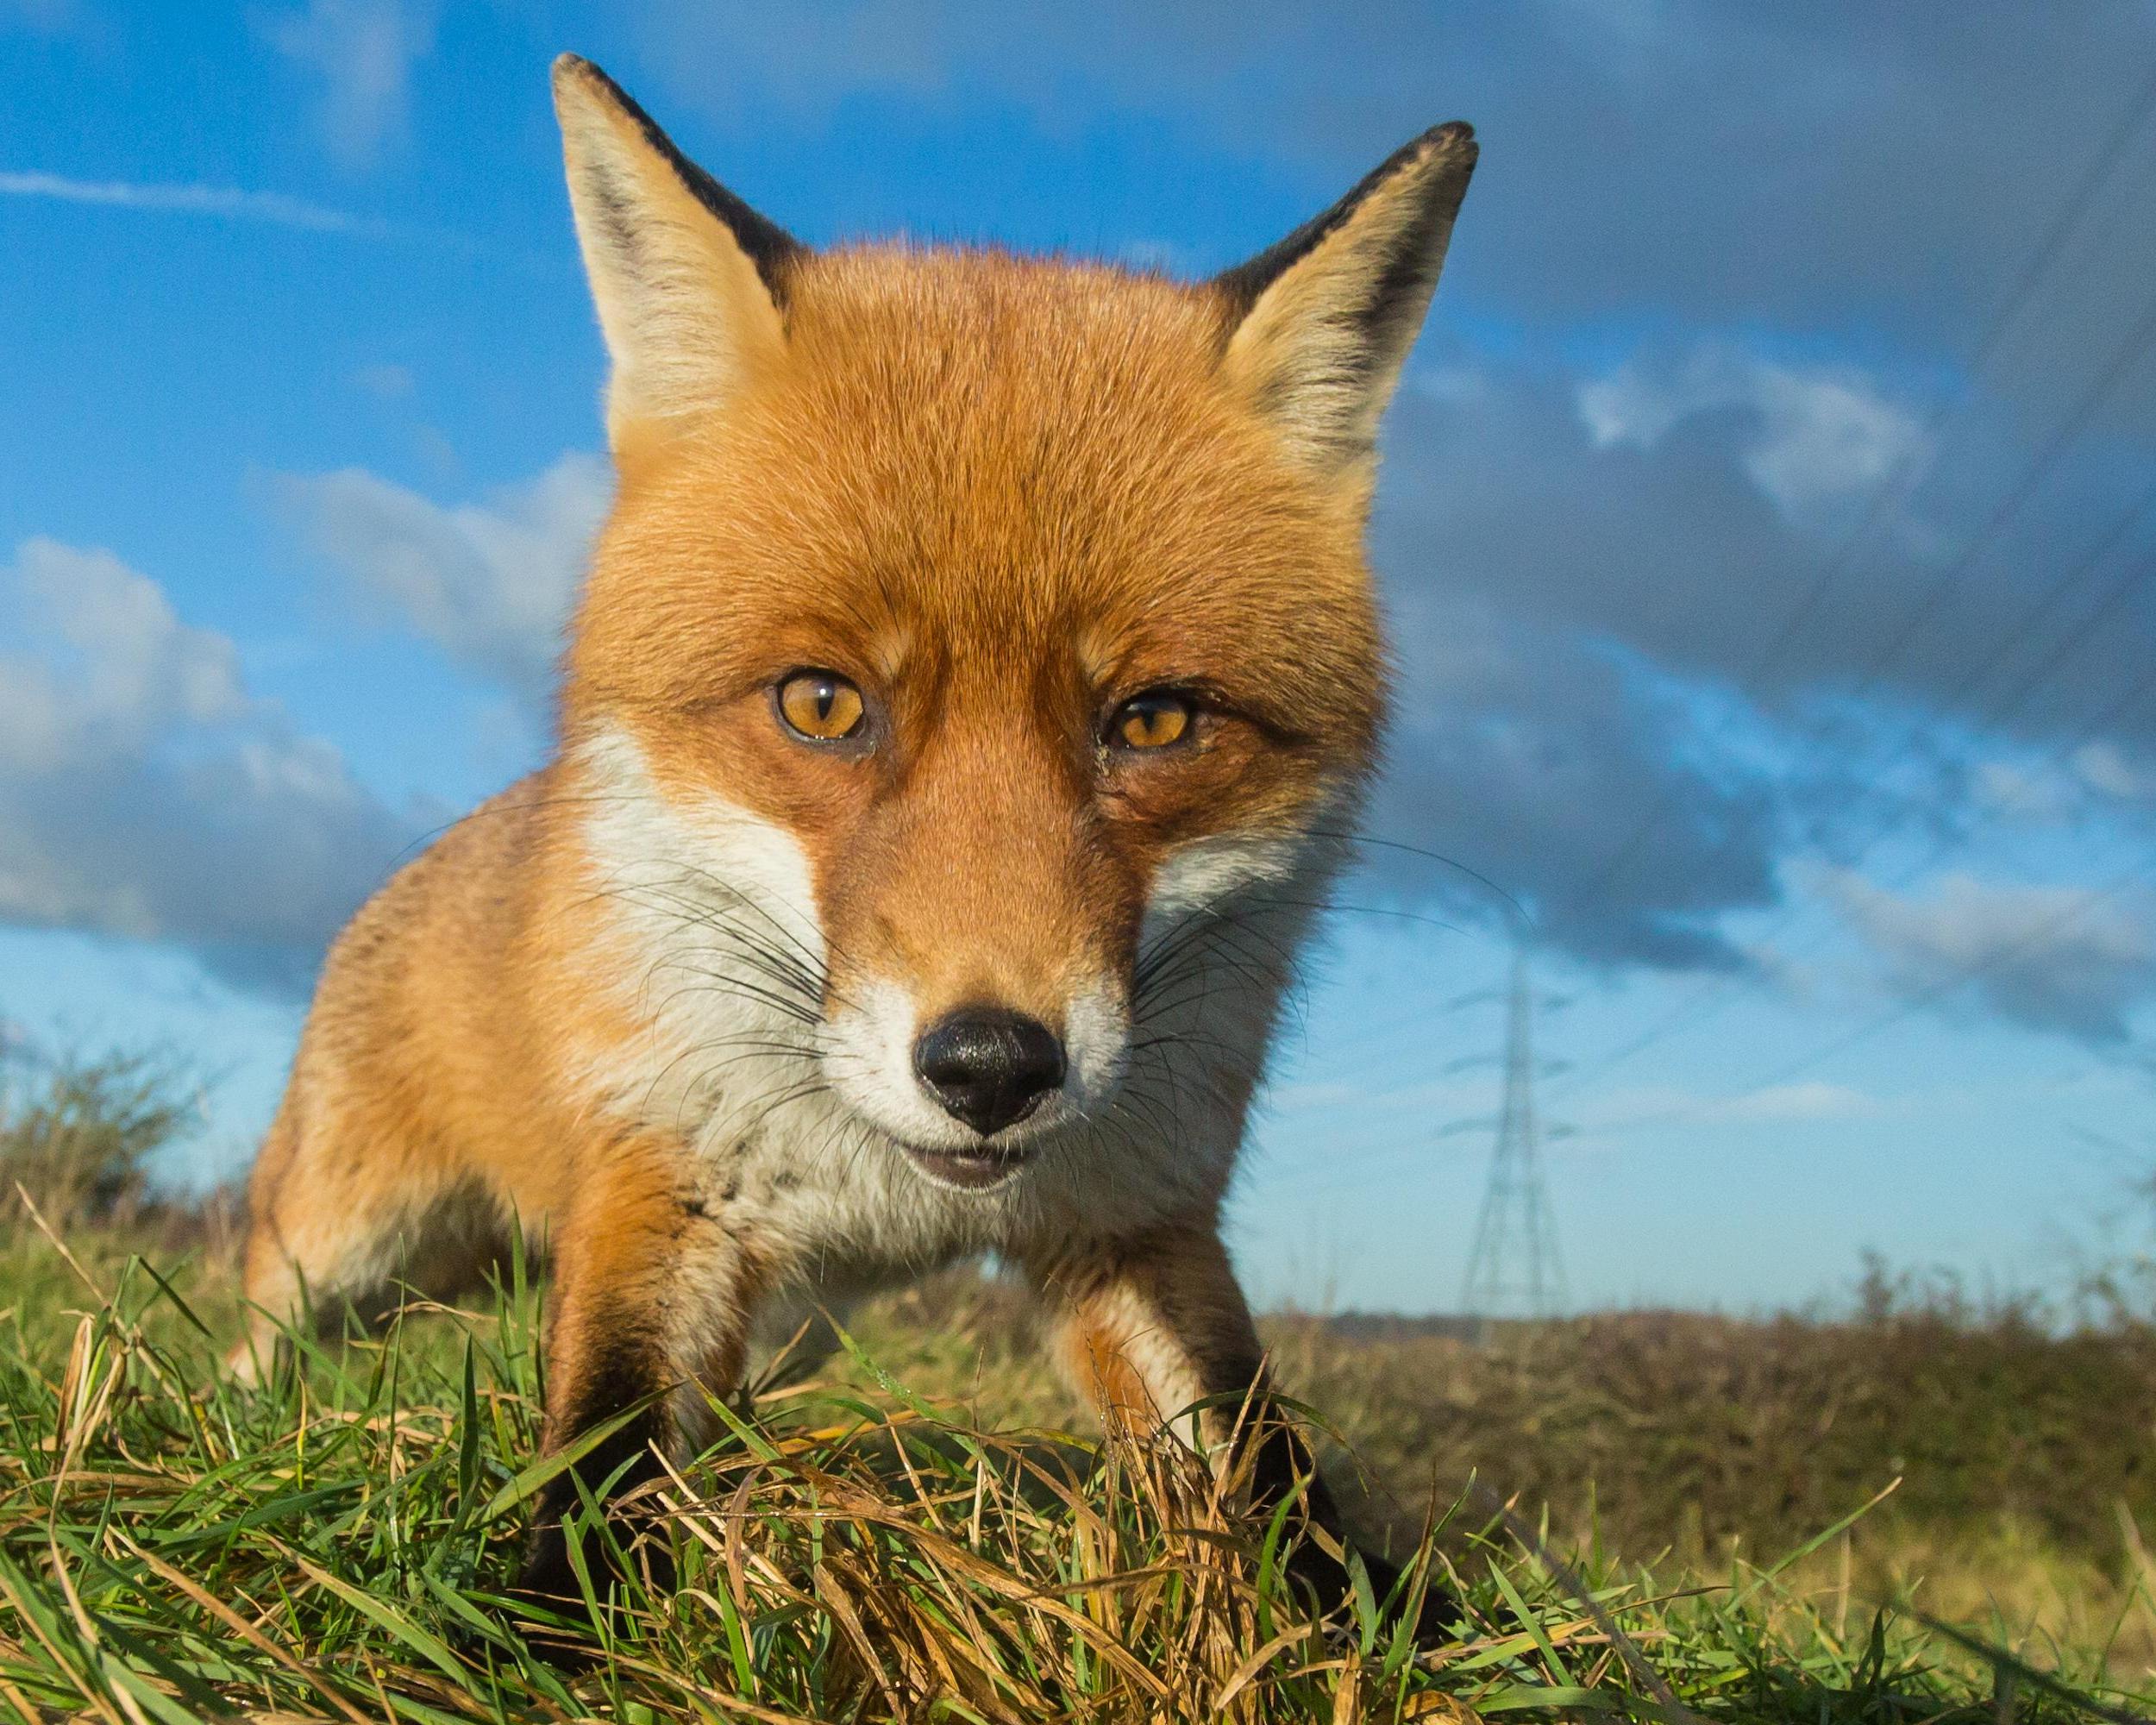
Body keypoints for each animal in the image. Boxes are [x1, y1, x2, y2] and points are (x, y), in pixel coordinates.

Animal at [240, 53, 1483, 1630]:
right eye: (824, 704)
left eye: (1152, 722)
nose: (991, 1067)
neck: (892, 1195)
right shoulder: (661, 1185)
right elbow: (600, 1448)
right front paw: (547, 1628)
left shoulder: (1138, 1221)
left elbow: (1268, 1473)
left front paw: (1407, 1625)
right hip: (341, 1242)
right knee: (252, 1333)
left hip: (791, 1327)